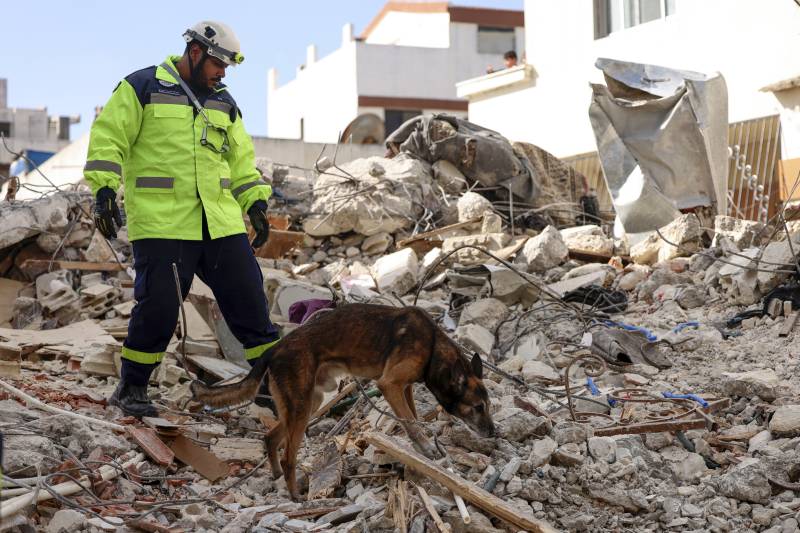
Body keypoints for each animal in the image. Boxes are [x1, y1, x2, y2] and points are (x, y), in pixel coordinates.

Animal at [192, 304, 494, 498]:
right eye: (478, 407)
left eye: (488, 407)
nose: (494, 433)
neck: (432, 346)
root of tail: (274, 349)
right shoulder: (390, 384)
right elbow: (409, 420)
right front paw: (425, 447)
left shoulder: (404, 388)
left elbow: (412, 416)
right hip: (301, 408)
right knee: (289, 455)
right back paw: (295, 495)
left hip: (308, 403)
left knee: (270, 437)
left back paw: (277, 476)